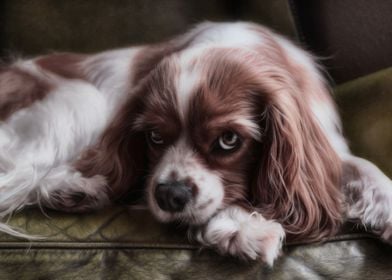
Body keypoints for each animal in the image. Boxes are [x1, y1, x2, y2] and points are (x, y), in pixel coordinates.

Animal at [0, 21, 392, 264]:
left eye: (229, 140)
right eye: (155, 136)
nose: (169, 195)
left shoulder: (320, 146)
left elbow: (364, 168)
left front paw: (386, 208)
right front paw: (242, 226)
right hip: (81, 100)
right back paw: (71, 187)